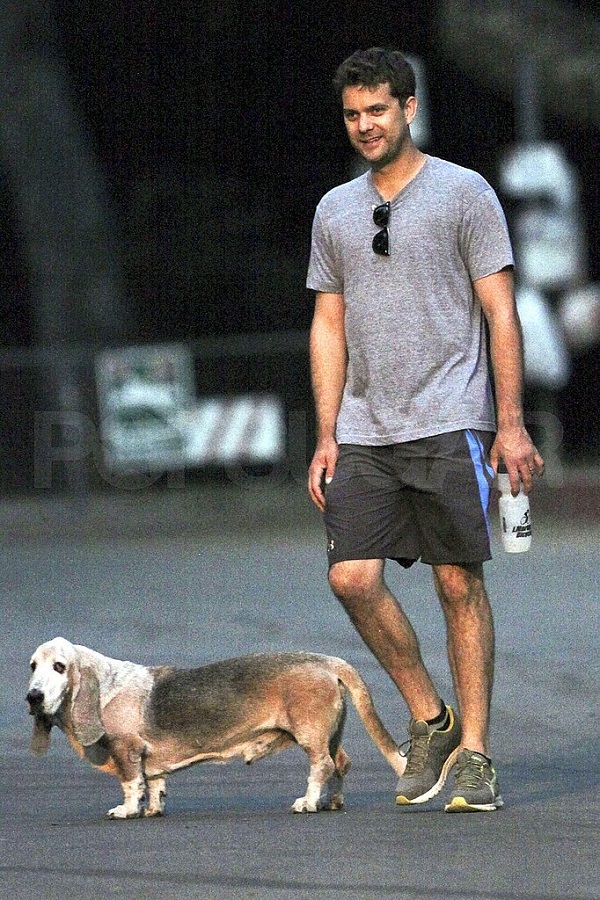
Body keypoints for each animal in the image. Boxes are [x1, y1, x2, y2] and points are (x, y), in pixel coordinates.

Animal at [25, 636, 406, 820]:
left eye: (60, 666)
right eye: (32, 666)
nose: (33, 696)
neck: (107, 686)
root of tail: (328, 661)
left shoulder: (127, 749)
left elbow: (132, 784)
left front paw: (127, 810)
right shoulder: (151, 761)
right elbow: (155, 784)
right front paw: (152, 810)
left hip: (310, 736)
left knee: (322, 766)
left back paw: (308, 802)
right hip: (331, 734)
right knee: (340, 763)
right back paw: (331, 801)